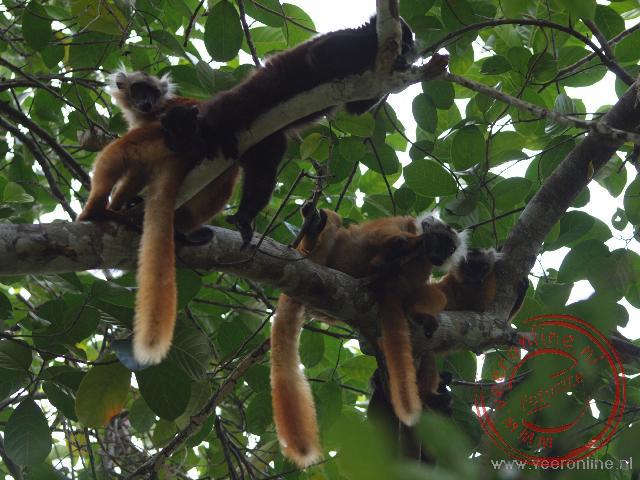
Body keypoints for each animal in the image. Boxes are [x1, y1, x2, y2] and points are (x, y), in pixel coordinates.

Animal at [162, 18, 448, 245]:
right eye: (406, 41)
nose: (410, 52)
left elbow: (355, 108)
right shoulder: (347, 40)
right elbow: (322, 55)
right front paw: (397, 61)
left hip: (263, 142)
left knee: (263, 170)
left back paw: (245, 215)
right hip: (245, 100)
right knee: (225, 113)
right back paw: (189, 134)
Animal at [270, 206, 465, 467]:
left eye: (449, 249)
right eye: (441, 242)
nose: (440, 256)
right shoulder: (403, 224)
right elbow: (383, 233)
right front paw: (404, 245)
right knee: (338, 225)